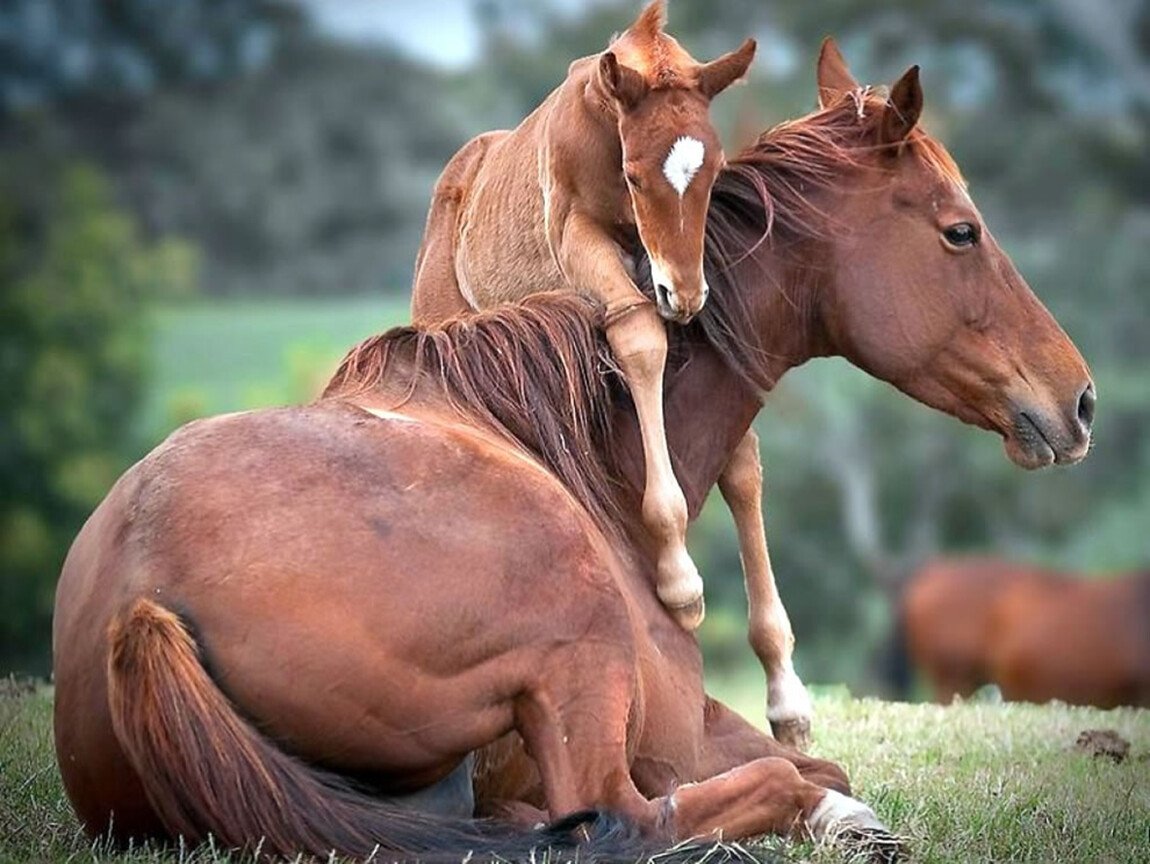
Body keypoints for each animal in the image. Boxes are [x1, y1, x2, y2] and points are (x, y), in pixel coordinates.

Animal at [411, 1, 754, 635]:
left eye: (715, 171)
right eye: (635, 175)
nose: (685, 294)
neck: (603, 122)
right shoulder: (577, 236)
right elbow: (640, 337)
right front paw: (681, 583)